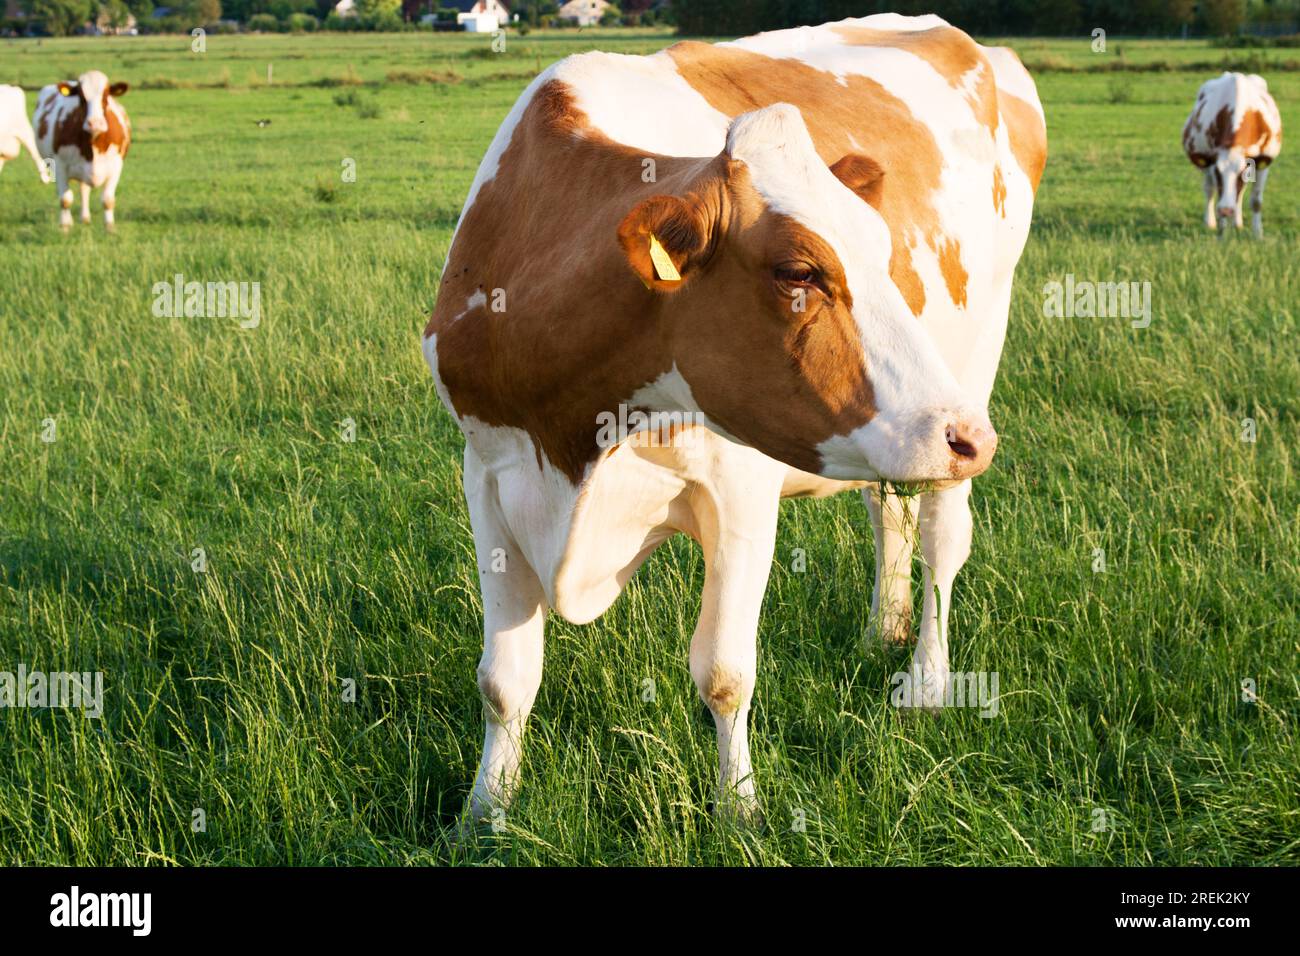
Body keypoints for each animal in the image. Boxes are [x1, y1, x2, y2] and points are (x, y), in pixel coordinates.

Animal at [33, 71, 131, 232]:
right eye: (81, 97)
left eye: (106, 95)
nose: (95, 123)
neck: (93, 142)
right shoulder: (60, 166)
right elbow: (65, 199)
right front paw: (65, 227)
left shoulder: (116, 166)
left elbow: (108, 200)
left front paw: (109, 227)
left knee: (84, 189)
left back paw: (85, 218)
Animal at [423, 14, 1046, 821]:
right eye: (798, 271)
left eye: (882, 249)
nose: (966, 435)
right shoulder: (488, 476)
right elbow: (504, 680)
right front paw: (487, 811)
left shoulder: (741, 487)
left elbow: (723, 672)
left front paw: (740, 809)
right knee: (890, 510)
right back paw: (884, 628)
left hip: (976, 359)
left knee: (944, 537)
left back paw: (927, 681)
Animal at [1183, 72, 1281, 237]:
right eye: (1218, 173)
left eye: (1241, 173)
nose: (1226, 210)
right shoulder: (1211, 163)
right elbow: (1217, 193)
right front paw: (1222, 231)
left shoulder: (1262, 164)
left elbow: (1255, 200)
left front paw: (1257, 233)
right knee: (1209, 190)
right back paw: (1211, 222)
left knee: (1239, 193)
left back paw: (1238, 223)